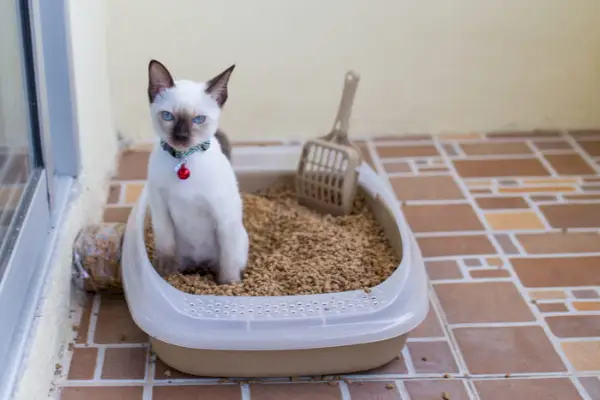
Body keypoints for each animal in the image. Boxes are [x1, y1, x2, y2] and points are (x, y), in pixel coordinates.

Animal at [146, 60, 248, 284]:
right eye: (168, 116)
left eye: (199, 119)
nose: (181, 136)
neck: (183, 159)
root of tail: (199, 263)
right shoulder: (160, 208)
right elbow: (166, 246)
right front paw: (163, 275)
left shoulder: (222, 215)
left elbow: (228, 261)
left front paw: (228, 285)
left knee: (229, 260)